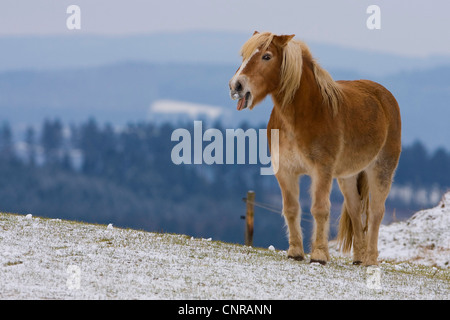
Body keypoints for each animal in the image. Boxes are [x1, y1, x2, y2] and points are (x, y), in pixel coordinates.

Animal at [229, 31, 400, 266]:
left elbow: (320, 209)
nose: (236, 86)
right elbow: (291, 209)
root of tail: (384, 96)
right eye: (244, 55)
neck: (306, 114)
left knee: (376, 212)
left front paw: (319, 255)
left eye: (266, 56)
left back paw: (370, 260)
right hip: (348, 176)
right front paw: (295, 252)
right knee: (355, 210)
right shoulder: (285, 171)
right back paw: (358, 258)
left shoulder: (322, 170)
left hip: (381, 169)